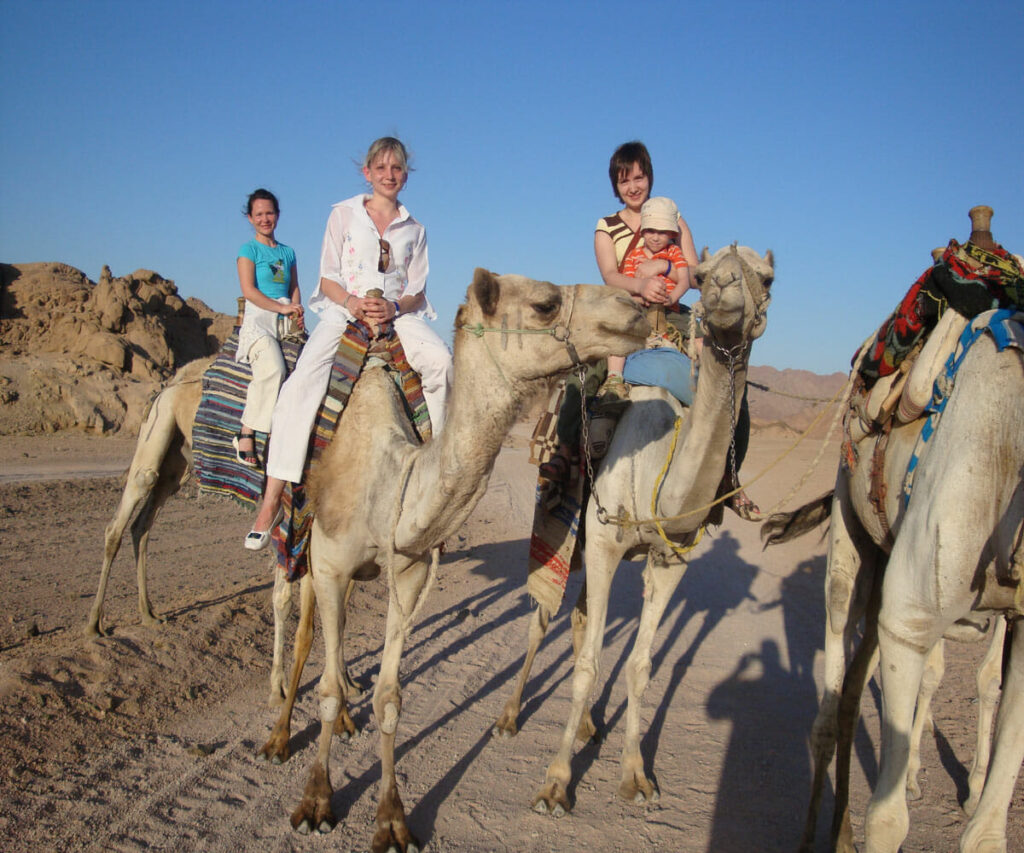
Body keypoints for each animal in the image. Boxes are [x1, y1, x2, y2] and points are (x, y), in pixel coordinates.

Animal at [283, 269, 646, 851]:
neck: (389, 476)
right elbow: (327, 689)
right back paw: (275, 734)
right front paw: (316, 800)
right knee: (292, 618)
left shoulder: (407, 569)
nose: (633, 307)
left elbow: (389, 697)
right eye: (545, 304)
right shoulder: (331, 563)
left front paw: (392, 819)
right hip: (299, 536)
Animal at [525, 245, 774, 816]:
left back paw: (590, 726)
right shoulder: (603, 543)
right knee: (545, 613)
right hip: (565, 524)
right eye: (704, 273)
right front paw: (554, 784)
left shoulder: (670, 560)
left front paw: (636, 776)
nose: (723, 288)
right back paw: (509, 717)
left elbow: (639, 666)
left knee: (580, 616)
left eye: (768, 277)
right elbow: (589, 664)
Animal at [759, 221, 1024, 850]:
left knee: (854, 695)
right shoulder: (912, 616)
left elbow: (985, 831)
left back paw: (841, 830)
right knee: (831, 702)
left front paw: (972, 793)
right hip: (850, 530)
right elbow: (889, 818)